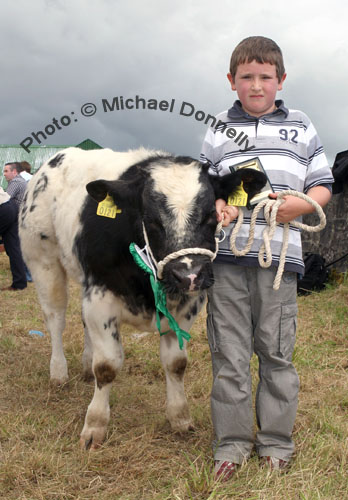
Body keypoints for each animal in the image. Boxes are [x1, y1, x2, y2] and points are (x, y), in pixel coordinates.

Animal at [19, 147, 266, 450]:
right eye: (151, 219)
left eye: (211, 215)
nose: (189, 274)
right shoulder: (101, 297)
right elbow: (107, 365)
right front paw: (95, 425)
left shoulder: (187, 304)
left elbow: (176, 364)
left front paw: (180, 418)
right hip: (43, 261)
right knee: (55, 319)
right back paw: (58, 373)